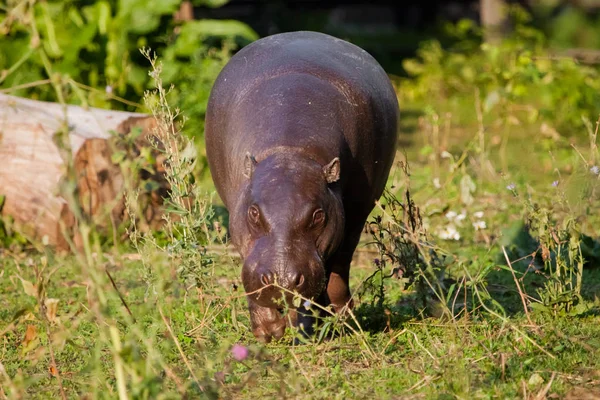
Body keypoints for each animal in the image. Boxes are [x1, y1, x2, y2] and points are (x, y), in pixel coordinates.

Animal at [205, 32, 398, 344]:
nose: (282, 281)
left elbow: (324, 280)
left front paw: (307, 331)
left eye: (318, 215)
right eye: (254, 213)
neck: (290, 151)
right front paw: (268, 332)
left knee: (336, 271)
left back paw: (338, 319)